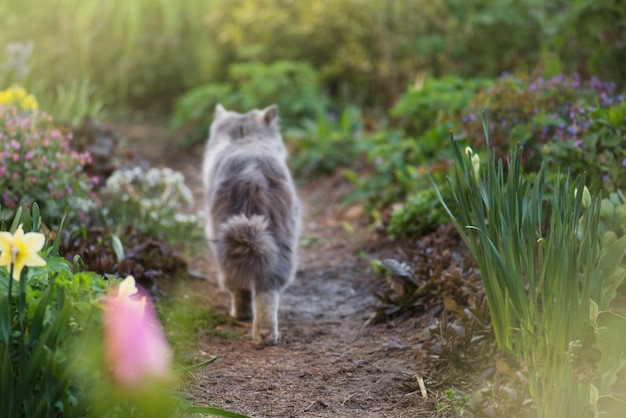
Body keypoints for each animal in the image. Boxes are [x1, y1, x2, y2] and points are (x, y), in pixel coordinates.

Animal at [202, 103, 300, 342]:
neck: (244, 137)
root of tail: (252, 172)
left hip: (225, 242)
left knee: (240, 286)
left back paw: (242, 316)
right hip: (280, 242)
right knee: (268, 290)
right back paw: (267, 334)